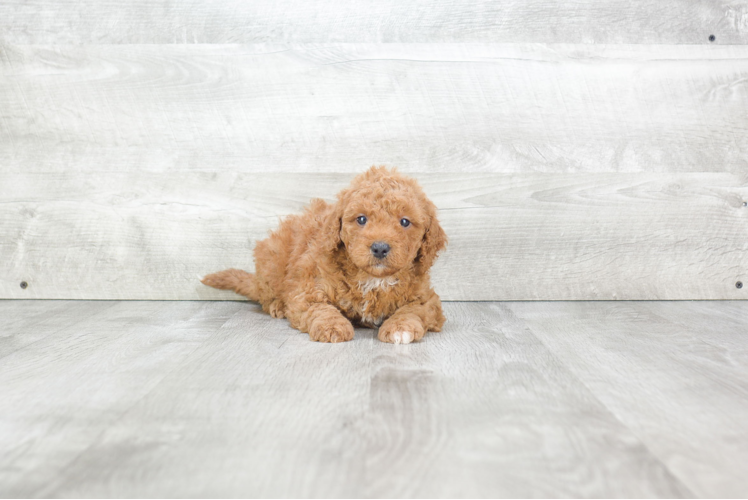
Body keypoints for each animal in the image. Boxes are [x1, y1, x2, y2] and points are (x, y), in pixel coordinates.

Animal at [202, 166, 448, 342]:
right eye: (361, 219)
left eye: (405, 222)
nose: (379, 247)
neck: (372, 279)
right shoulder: (309, 288)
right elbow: (320, 309)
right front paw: (333, 326)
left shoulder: (426, 298)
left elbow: (413, 310)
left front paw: (400, 328)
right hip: (273, 257)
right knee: (267, 292)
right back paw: (278, 305)